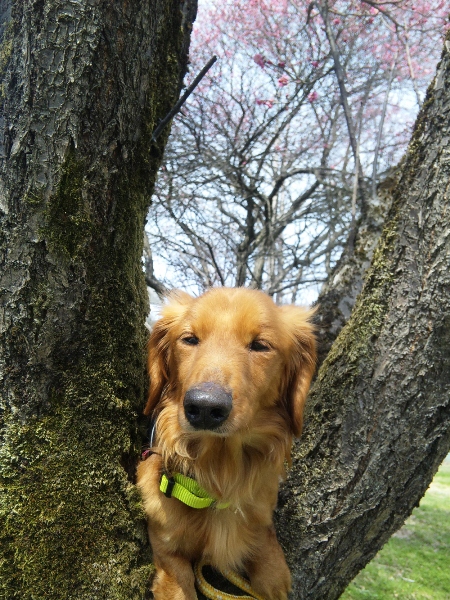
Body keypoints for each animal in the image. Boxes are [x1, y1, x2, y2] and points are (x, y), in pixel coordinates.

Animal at [136, 287, 316, 600]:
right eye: (190, 339)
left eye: (260, 345)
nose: (205, 407)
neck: (218, 475)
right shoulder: (165, 544)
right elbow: (179, 579)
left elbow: (265, 543)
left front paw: (272, 567)